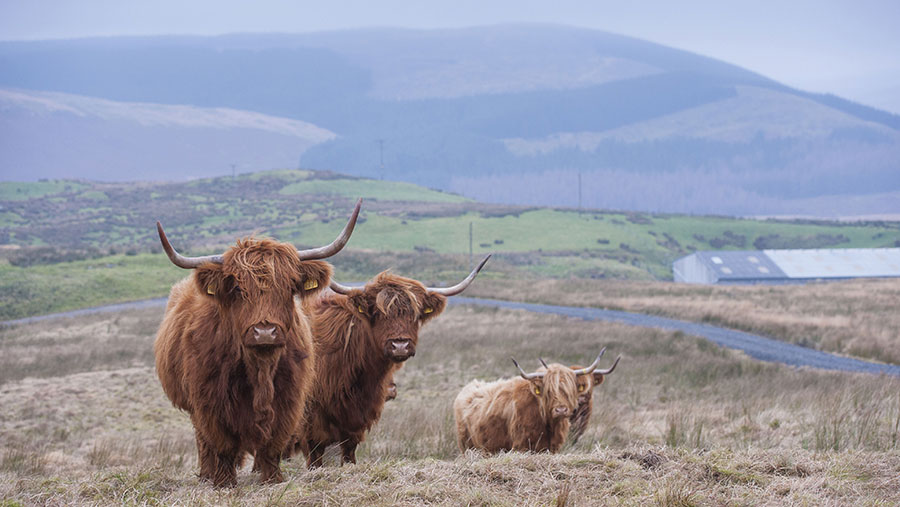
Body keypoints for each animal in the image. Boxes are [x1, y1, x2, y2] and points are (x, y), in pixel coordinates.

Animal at [294, 256, 492, 470]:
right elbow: (315, 458)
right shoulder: (311, 423)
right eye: (378, 313)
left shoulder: (355, 422)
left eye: (415, 315)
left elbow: (348, 454)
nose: (400, 345)